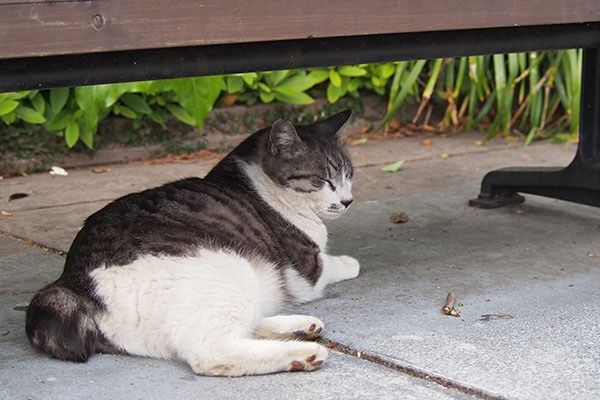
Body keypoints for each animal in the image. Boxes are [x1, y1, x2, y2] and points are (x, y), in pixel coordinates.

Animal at [24, 108, 360, 376]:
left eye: (349, 175)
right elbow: (331, 264)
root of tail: (72, 283)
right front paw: (350, 263)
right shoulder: (307, 270)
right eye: (323, 180)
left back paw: (300, 326)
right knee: (210, 351)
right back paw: (302, 354)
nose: (348, 201)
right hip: (229, 271)